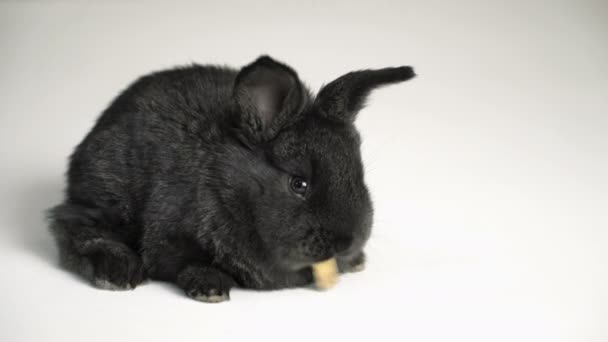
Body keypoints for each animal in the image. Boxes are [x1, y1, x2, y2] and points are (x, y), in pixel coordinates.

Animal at [48, 56, 414, 302]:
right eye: (299, 183)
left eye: (359, 173)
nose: (347, 242)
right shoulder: (168, 233)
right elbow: (183, 261)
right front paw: (210, 287)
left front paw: (355, 263)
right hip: (107, 195)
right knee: (70, 225)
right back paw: (117, 272)